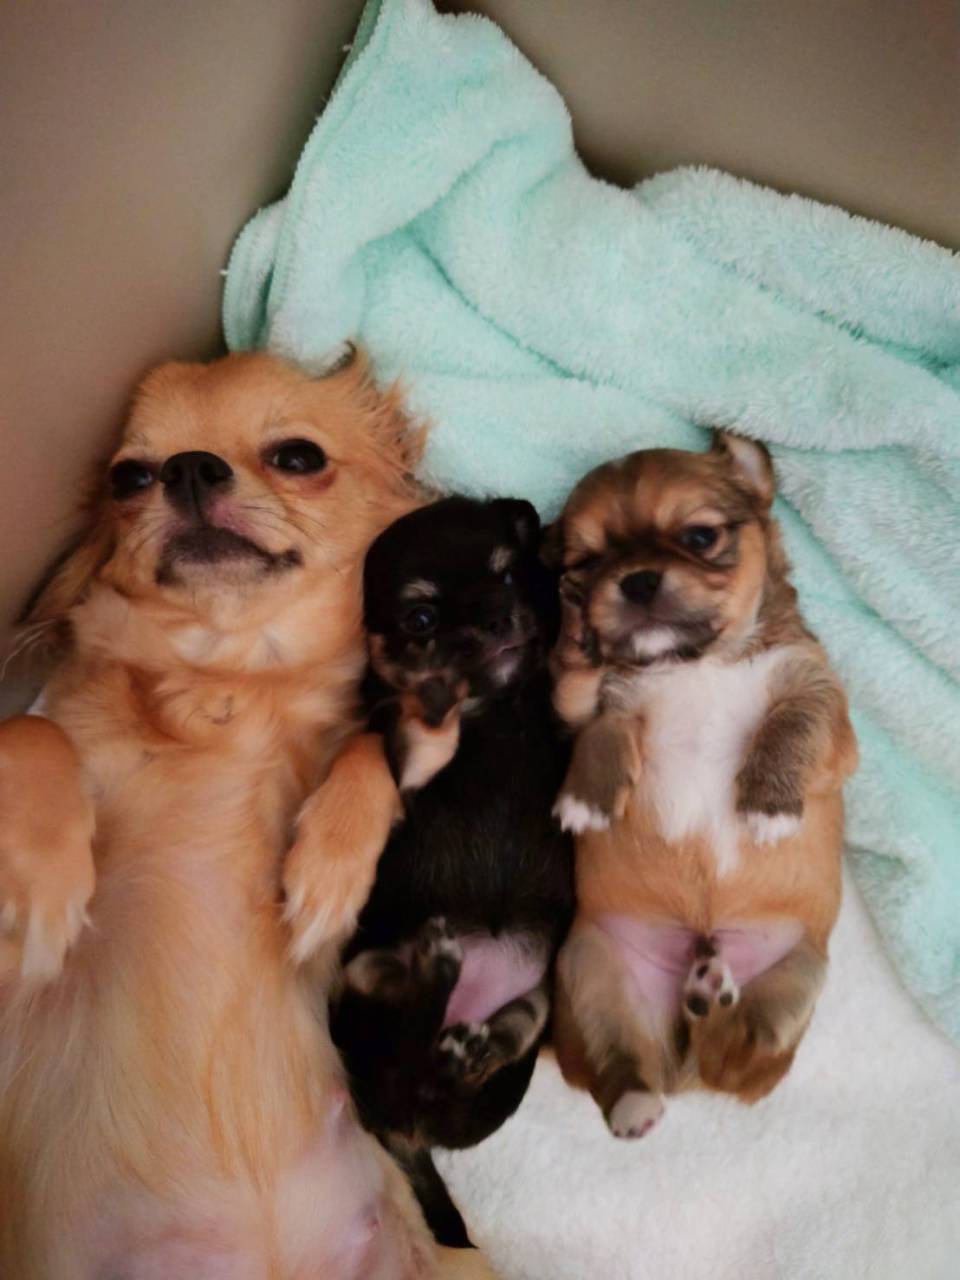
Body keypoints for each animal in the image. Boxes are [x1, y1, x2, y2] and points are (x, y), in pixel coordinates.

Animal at [0, 348, 496, 1279]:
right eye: (129, 476)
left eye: (297, 457)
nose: (190, 468)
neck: (232, 677)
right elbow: (32, 729)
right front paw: (44, 883)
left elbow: (369, 746)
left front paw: (327, 867)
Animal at [315, 496, 575, 1248]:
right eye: (421, 619)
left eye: (509, 575)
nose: (495, 617)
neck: (500, 710)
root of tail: (405, 1132)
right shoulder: (403, 771)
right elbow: (420, 730)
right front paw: (436, 702)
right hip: (359, 991)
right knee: (408, 1047)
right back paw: (434, 975)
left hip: (538, 996)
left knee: (456, 1067)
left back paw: (469, 1045)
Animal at [547, 433, 858, 1138]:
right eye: (587, 563)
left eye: (698, 537)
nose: (635, 580)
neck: (695, 663)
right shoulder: (590, 708)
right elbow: (596, 720)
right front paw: (588, 795)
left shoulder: (825, 705)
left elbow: (791, 723)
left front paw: (767, 805)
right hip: (593, 970)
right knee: (622, 1068)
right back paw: (643, 1092)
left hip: (796, 977)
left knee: (737, 1063)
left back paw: (714, 999)